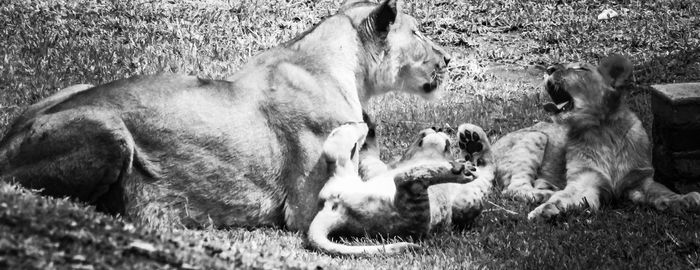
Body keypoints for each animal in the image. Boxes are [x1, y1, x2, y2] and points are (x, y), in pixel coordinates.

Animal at [456, 54, 696, 219]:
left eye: (581, 68)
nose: (549, 68)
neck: (603, 130)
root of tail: (494, 145)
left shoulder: (641, 180)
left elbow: (663, 190)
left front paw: (685, 199)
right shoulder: (583, 180)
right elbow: (565, 196)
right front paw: (546, 209)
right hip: (535, 136)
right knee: (513, 189)